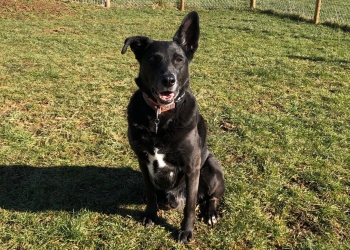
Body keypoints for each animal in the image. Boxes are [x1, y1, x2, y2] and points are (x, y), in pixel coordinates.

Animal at [120, 10, 224, 243]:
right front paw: (150, 215)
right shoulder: (142, 161)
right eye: (153, 59)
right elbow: (150, 193)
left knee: (210, 197)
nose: (169, 80)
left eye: (179, 60)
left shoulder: (192, 167)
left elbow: (191, 206)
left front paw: (186, 231)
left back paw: (211, 213)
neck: (160, 116)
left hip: (211, 166)